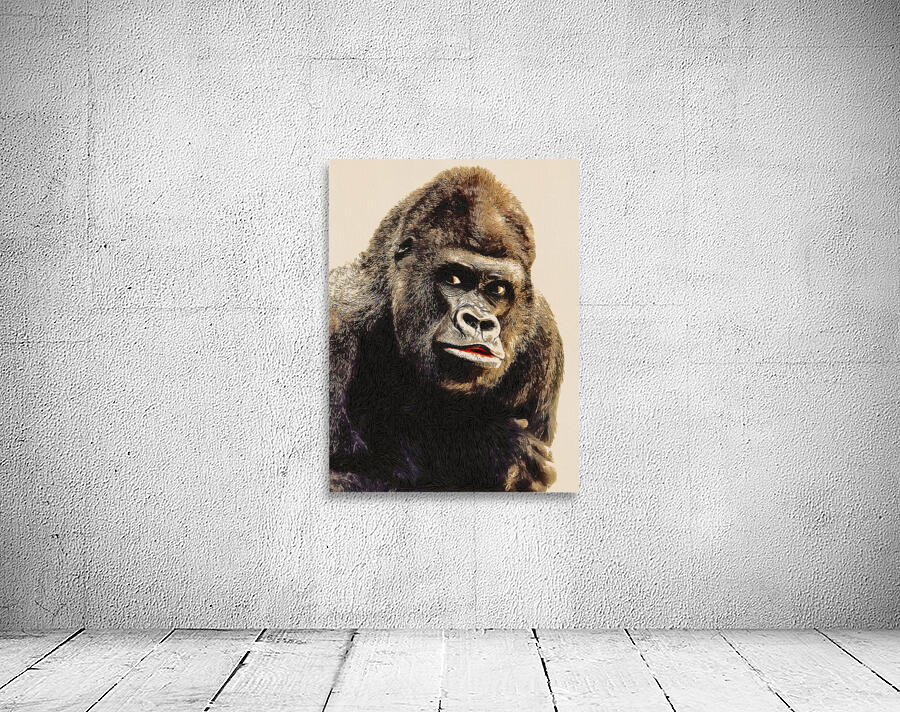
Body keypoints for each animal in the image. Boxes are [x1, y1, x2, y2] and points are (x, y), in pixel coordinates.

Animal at [329, 166, 564, 492]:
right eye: (454, 279)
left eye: (498, 289)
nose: (479, 322)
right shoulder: (337, 316)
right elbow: (345, 472)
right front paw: (484, 445)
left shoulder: (544, 336)